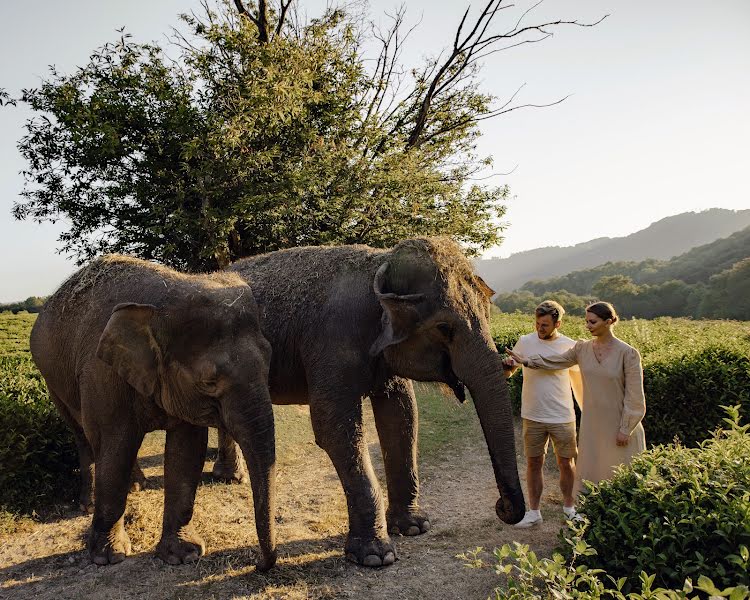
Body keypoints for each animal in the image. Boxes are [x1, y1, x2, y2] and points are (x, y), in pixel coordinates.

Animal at [30, 254, 276, 572]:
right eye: (209, 382)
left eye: (269, 361)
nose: (257, 564)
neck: (162, 301)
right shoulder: (102, 374)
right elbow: (114, 447)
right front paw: (108, 557)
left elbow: (186, 451)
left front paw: (184, 555)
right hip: (52, 379)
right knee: (84, 436)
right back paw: (90, 503)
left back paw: (137, 486)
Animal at [214, 237, 524, 564]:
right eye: (444, 328)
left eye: (488, 314)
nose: (502, 507)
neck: (379, 263)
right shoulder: (332, 342)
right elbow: (334, 428)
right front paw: (376, 556)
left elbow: (402, 416)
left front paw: (414, 527)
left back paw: (230, 477)